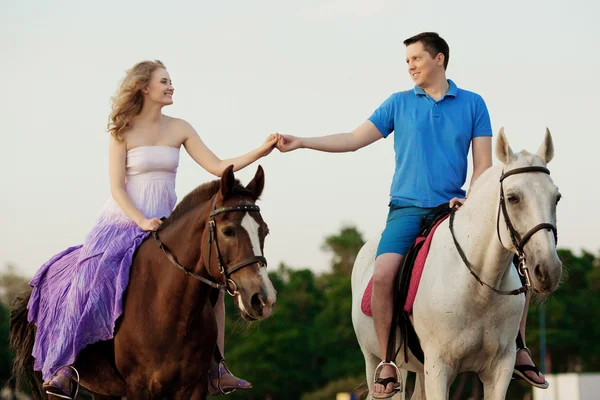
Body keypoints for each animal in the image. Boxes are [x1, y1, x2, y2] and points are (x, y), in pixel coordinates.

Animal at [9, 164, 276, 398]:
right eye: (228, 230)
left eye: (265, 231)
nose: (263, 299)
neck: (168, 308)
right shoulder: (140, 387)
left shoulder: (192, 389)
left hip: (104, 390)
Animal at [352, 130, 564, 398]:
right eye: (513, 198)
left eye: (556, 198)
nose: (548, 271)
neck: (478, 288)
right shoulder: (438, 368)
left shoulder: (500, 369)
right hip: (375, 360)